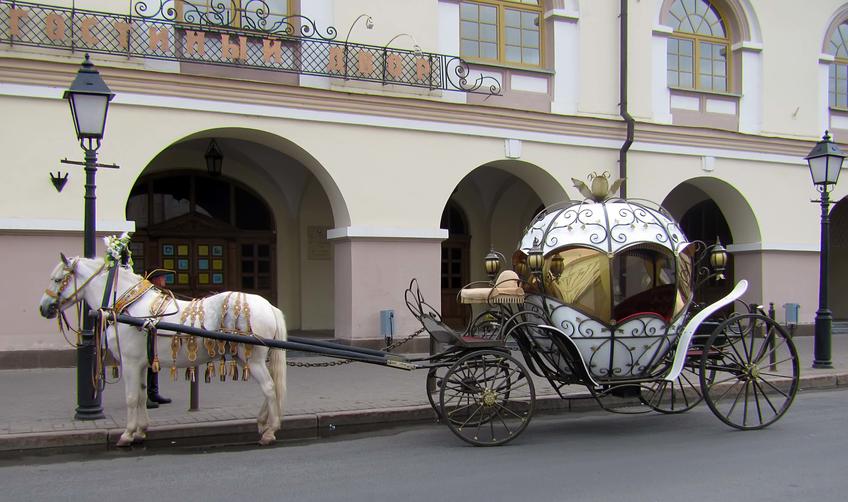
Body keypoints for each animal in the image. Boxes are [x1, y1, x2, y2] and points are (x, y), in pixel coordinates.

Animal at [39, 255, 286, 448]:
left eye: (58, 279)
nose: (43, 308)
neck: (130, 307)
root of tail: (268, 306)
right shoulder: (140, 364)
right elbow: (141, 395)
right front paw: (140, 431)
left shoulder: (129, 362)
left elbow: (131, 397)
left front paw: (127, 434)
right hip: (247, 357)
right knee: (270, 387)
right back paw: (263, 422)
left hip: (252, 359)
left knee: (269, 387)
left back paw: (271, 430)